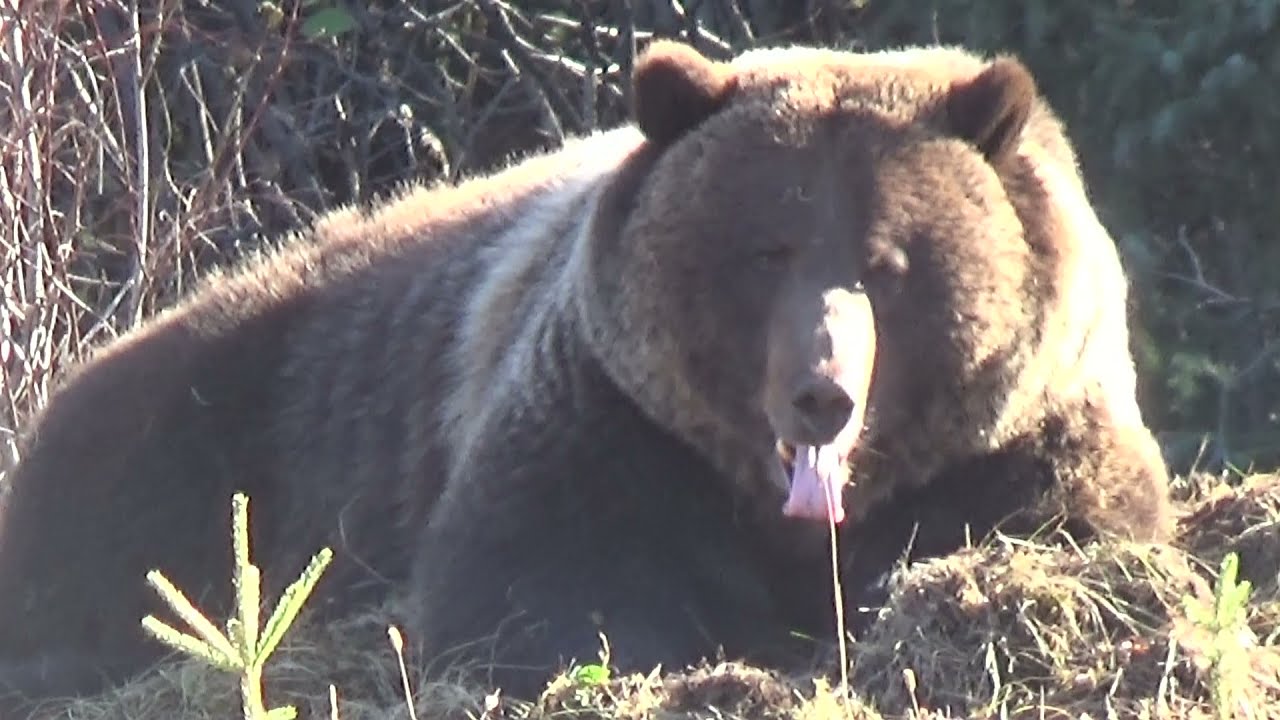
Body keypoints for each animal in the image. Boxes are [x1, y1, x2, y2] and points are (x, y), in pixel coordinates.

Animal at [0, 38, 1172, 714]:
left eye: (887, 263)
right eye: (767, 250)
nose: (820, 394)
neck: (789, 514)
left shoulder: (1021, 431)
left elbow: (1058, 528)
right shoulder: (610, 419)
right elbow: (537, 582)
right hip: (232, 411)